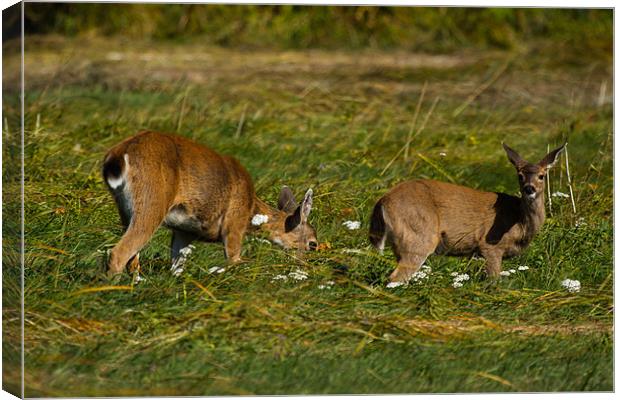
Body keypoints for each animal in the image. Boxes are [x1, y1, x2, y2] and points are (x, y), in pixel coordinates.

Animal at [102, 130, 318, 278]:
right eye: (313, 243)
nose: (305, 266)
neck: (251, 209)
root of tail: (119, 153)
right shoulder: (234, 225)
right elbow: (235, 261)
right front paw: (212, 271)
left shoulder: (184, 231)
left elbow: (177, 267)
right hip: (151, 200)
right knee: (118, 253)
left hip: (125, 209)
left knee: (132, 259)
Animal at [368, 142, 568, 282]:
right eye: (519, 175)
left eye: (542, 175)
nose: (529, 189)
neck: (519, 220)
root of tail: (383, 200)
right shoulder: (490, 246)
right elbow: (494, 281)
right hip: (419, 235)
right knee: (396, 277)